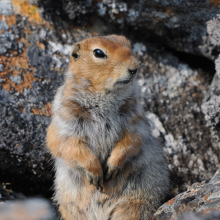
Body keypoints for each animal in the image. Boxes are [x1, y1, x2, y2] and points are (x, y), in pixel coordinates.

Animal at [46, 35, 170, 219]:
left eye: (129, 44)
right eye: (98, 53)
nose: (134, 68)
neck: (104, 98)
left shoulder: (135, 119)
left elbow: (132, 139)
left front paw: (112, 167)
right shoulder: (65, 118)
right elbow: (66, 144)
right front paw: (96, 173)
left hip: (133, 206)